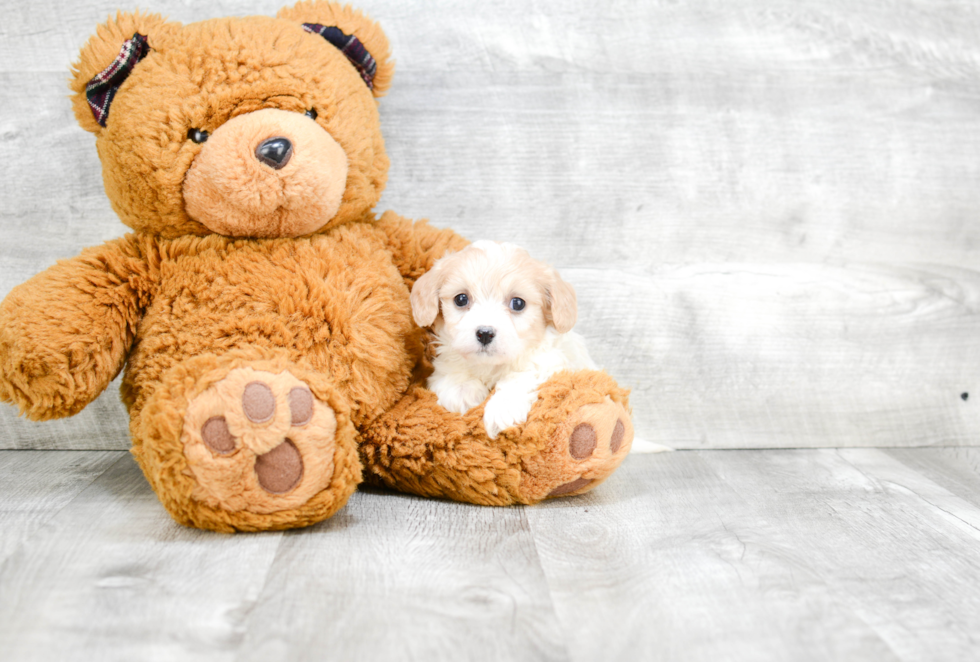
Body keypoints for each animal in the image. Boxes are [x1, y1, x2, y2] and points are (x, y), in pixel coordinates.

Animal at [408, 241, 592, 438]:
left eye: (518, 303)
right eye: (461, 299)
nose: (485, 333)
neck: (490, 366)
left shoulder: (549, 362)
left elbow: (523, 375)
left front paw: (504, 408)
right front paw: (461, 389)